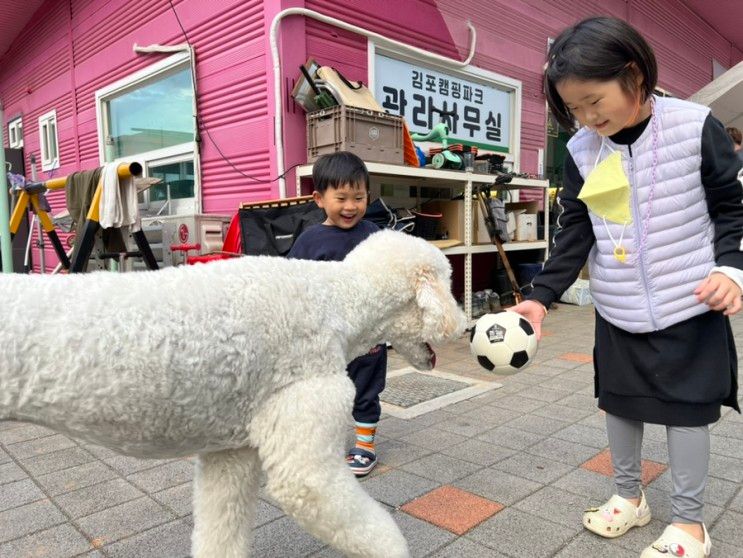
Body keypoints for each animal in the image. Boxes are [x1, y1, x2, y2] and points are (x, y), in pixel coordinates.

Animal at [0, 230, 464, 556]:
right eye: (448, 282)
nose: (466, 324)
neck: (339, 300)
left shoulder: (230, 452)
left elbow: (221, 530)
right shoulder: (305, 450)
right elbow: (364, 525)